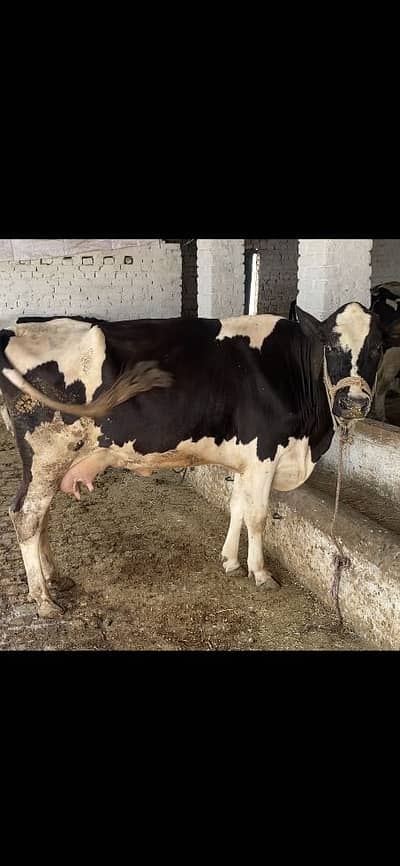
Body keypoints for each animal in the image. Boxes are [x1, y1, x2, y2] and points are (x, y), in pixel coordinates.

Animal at [0, 304, 393, 619]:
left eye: (377, 347)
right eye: (331, 346)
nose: (354, 402)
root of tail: (14, 330)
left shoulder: (246, 459)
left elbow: (236, 506)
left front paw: (231, 561)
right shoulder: (264, 454)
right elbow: (257, 516)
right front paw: (260, 572)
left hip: (51, 463)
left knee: (42, 517)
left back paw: (55, 578)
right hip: (47, 454)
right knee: (26, 516)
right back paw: (43, 599)